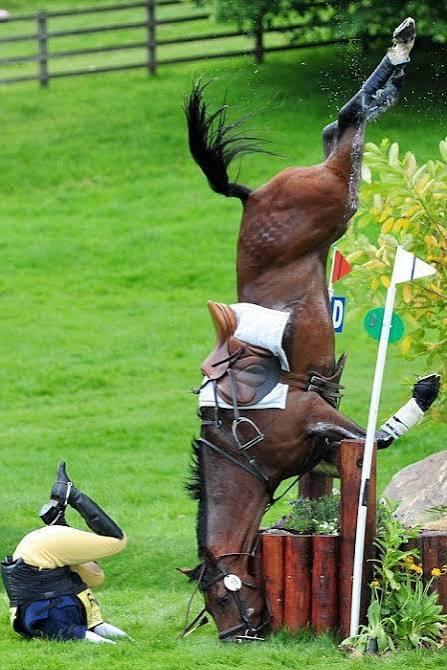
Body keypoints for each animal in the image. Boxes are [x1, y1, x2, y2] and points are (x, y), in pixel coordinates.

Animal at [181, 18, 439, 642]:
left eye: (220, 598)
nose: (237, 635)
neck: (240, 456)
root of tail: (250, 195)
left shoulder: (315, 416)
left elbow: (376, 439)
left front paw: (426, 391)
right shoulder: (317, 446)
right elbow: (359, 451)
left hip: (330, 202)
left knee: (345, 127)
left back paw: (399, 50)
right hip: (330, 204)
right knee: (335, 130)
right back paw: (395, 72)